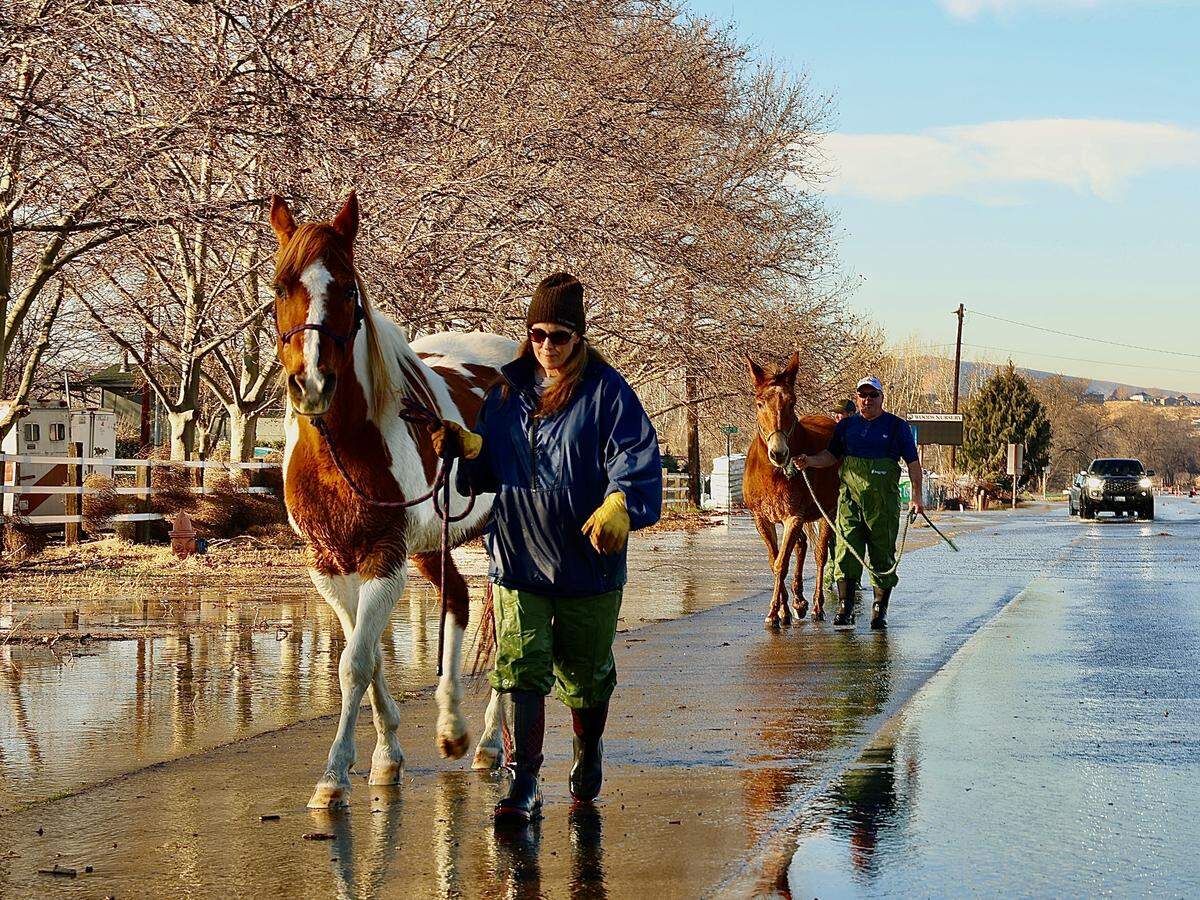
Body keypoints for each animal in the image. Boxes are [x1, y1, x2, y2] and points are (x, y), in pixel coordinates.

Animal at [270, 192, 509, 808]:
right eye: (280, 287)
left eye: (347, 288)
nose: (312, 385)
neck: (342, 447)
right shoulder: (330, 565)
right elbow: (368, 654)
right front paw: (387, 755)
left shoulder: (385, 558)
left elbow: (354, 663)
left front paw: (334, 775)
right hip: (431, 546)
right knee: (460, 602)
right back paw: (453, 729)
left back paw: (489, 744)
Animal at [742, 352, 841, 627]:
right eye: (760, 403)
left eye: (792, 403)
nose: (779, 453)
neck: (772, 474)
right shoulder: (762, 519)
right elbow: (774, 559)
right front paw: (785, 609)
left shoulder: (793, 517)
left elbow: (781, 563)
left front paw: (774, 611)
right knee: (802, 546)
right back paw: (799, 601)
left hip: (828, 511)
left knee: (820, 554)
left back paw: (817, 606)